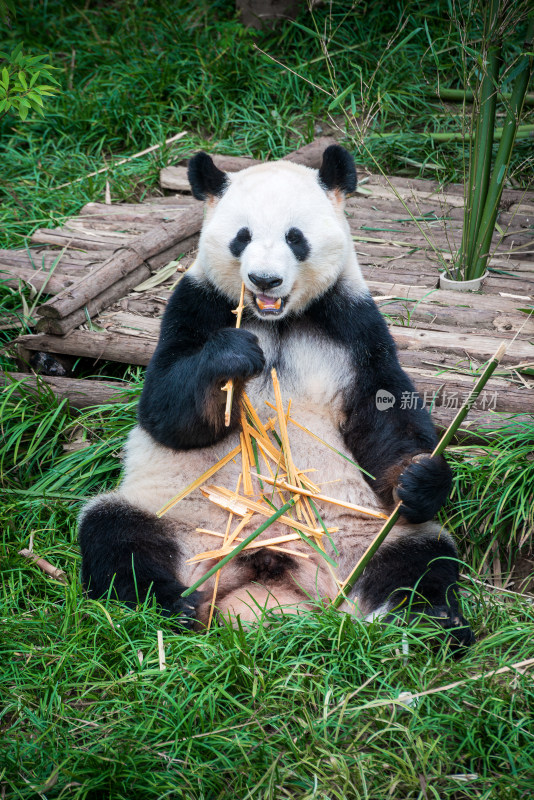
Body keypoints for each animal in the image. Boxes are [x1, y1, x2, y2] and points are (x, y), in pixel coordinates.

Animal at [78, 145, 474, 648]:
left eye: (295, 237)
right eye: (241, 237)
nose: (264, 280)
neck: (277, 321)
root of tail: (267, 564)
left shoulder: (354, 325)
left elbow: (382, 413)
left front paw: (417, 477)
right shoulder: (195, 304)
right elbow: (163, 409)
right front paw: (232, 357)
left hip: (362, 536)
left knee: (419, 557)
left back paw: (428, 622)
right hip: (182, 521)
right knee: (116, 535)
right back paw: (170, 606)